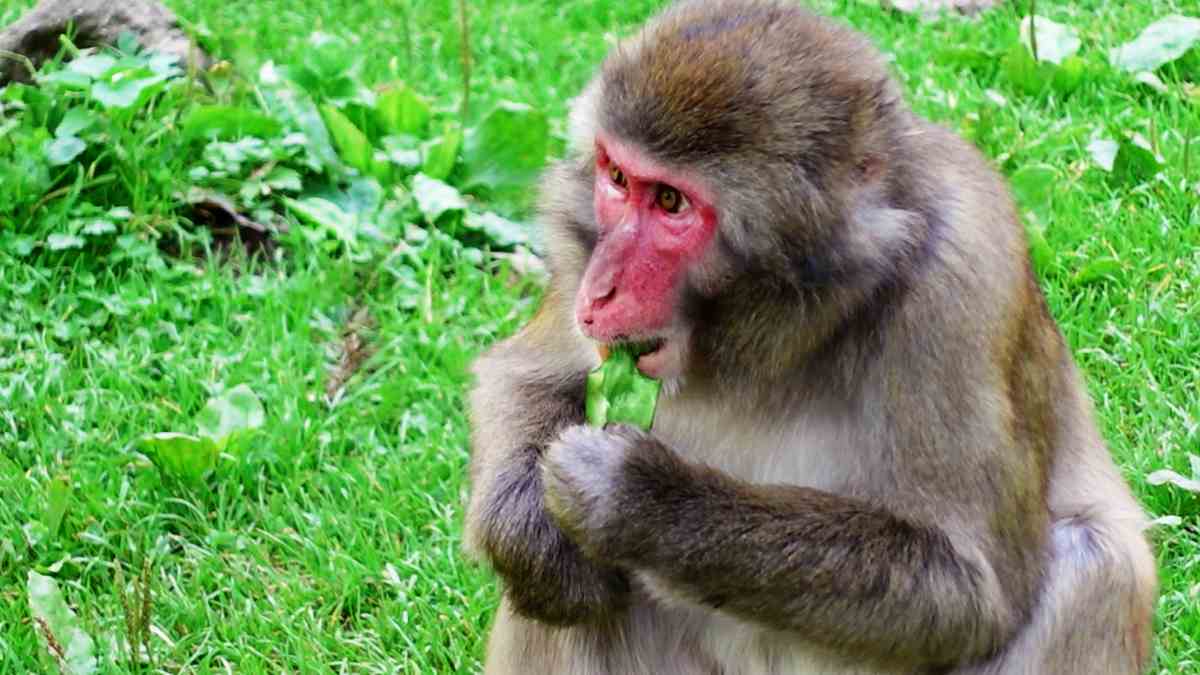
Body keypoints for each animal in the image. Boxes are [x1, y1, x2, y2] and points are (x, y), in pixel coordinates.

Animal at [458, 2, 1152, 667]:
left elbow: (968, 588)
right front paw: (533, 534)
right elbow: (521, 374)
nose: (597, 291)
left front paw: (640, 499)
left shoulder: (960, 276)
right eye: (618, 180)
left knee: (1095, 565)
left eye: (672, 203)